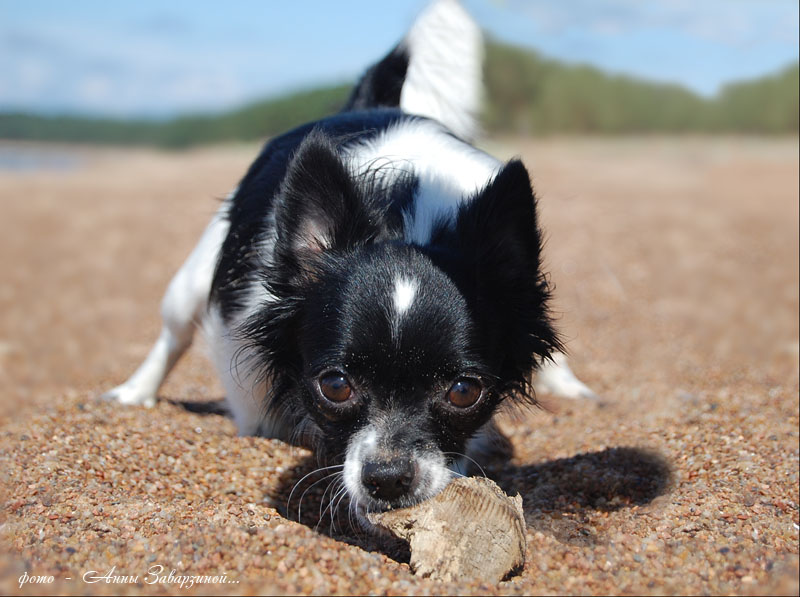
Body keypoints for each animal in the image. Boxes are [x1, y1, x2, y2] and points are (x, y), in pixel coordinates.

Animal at [103, 0, 594, 521]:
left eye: (464, 392)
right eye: (335, 385)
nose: (388, 478)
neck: (406, 219)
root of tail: (372, 105)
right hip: (193, 279)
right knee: (173, 335)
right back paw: (134, 393)